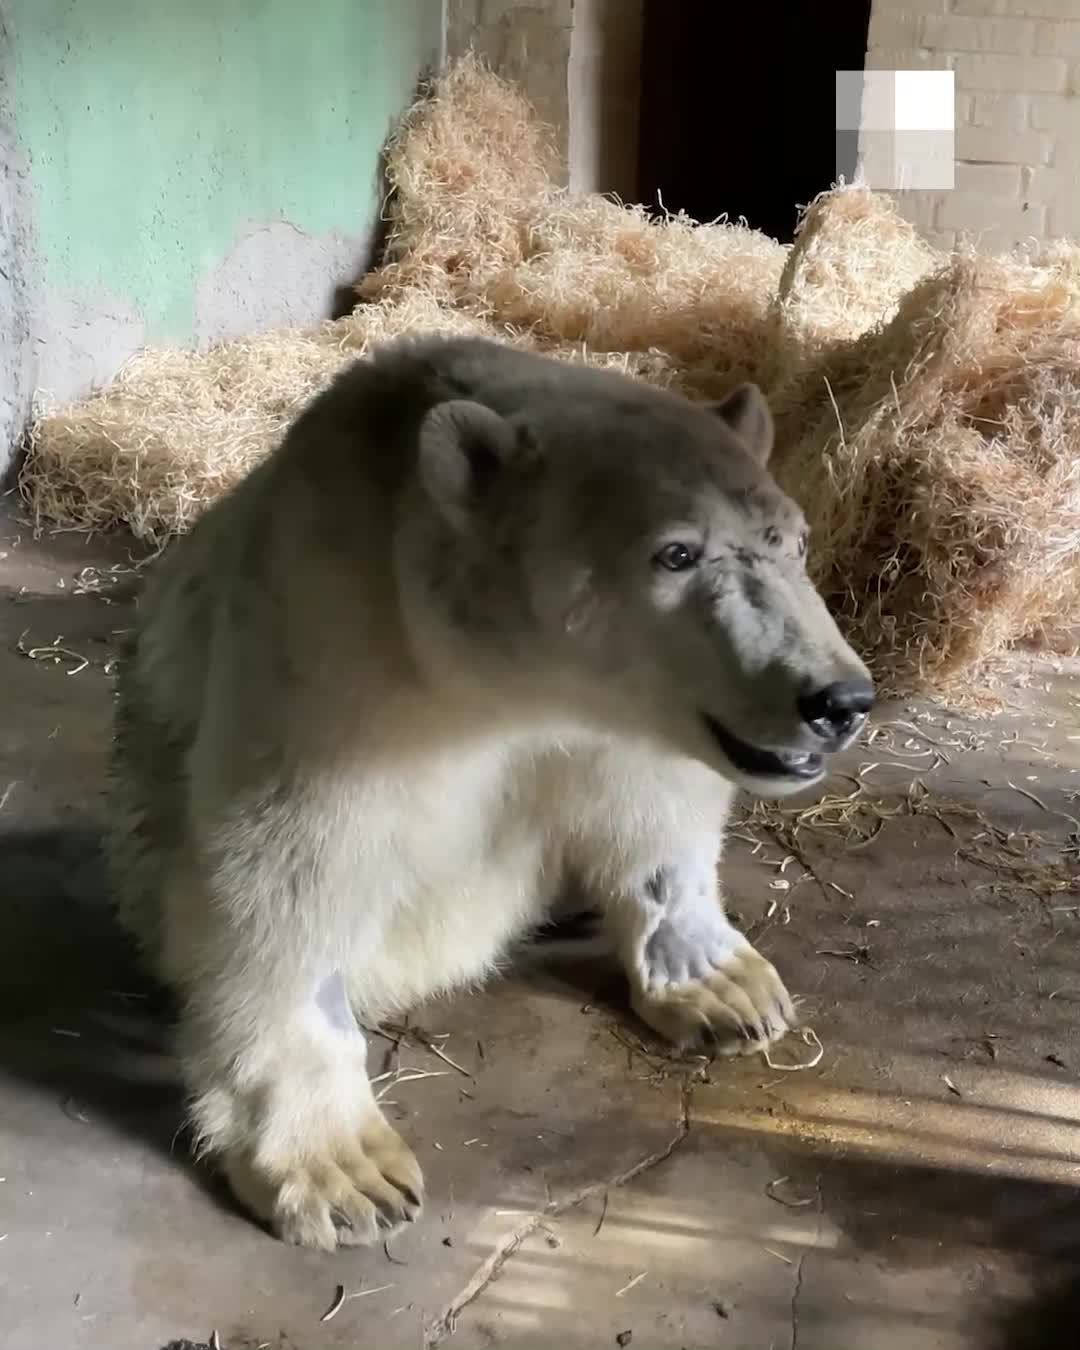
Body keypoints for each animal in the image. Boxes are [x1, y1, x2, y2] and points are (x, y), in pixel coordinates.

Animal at [107, 332, 869, 1247]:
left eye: (794, 541)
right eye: (677, 553)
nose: (839, 700)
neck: (492, 680)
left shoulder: (623, 725)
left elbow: (653, 810)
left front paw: (723, 986)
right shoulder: (333, 651)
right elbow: (290, 874)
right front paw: (342, 1170)